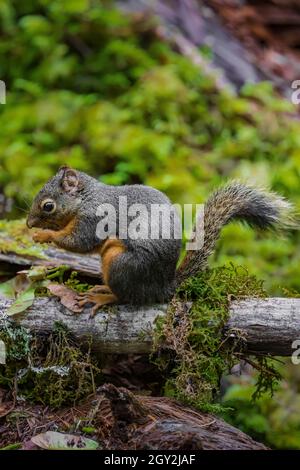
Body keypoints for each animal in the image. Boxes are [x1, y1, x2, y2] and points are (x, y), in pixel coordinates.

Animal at [25, 165, 292, 316]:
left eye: (48, 206)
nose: (28, 223)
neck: (86, 198)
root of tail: (163, 287)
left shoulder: (95, 217)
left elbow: (78, 242)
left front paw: (42, 235)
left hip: (120, 262)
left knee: (127, 297)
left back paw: (103, 296)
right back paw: (102, 288)